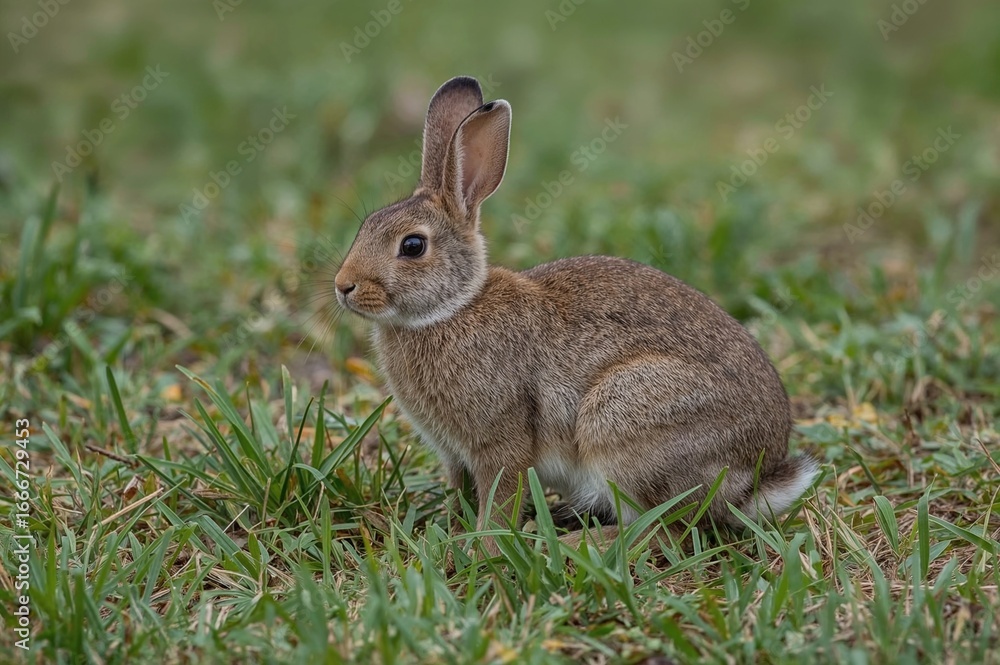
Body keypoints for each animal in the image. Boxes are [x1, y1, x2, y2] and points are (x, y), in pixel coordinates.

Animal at [334, 76, 818, 556]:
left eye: (413, 246)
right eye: (364, 227)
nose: (343, 286)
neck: (452, 308)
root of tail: (753, 479)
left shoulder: (501, 442)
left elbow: (500, 499)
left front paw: (482, 549)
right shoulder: (454, 455)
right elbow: (460, 492)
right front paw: (451, 533)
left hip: (624, 420)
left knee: (669, 530)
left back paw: (578, 542)